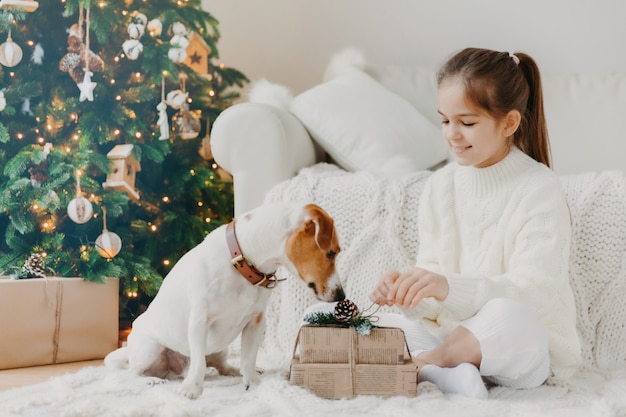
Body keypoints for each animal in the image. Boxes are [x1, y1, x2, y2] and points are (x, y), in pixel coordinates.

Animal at [105, 203, 344, 398]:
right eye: (331, 253)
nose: (341, 296)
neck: (242, 263)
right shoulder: (199, 321)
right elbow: (198, 362)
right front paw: (192, 389)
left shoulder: (256, 322)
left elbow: (248, 358)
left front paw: (253, 382)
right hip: (151, 348)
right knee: (133, 372)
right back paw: (152, 379)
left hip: (222, 348)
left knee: (221, 366)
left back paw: (231, 371)